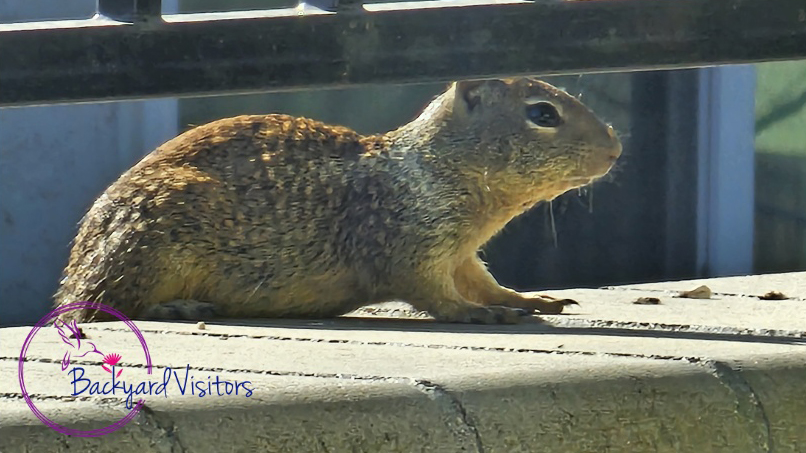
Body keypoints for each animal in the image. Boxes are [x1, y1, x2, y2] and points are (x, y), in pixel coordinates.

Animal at [55, 78, 624, 324]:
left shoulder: (461, 255)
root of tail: (74, 273)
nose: (616, 147)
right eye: (543, 114)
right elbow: (435, 296)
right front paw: (480, 315)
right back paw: (180, 305)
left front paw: (529, 300)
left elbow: (485, 284)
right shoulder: (408, 245)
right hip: (147, 246)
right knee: (104, 304)